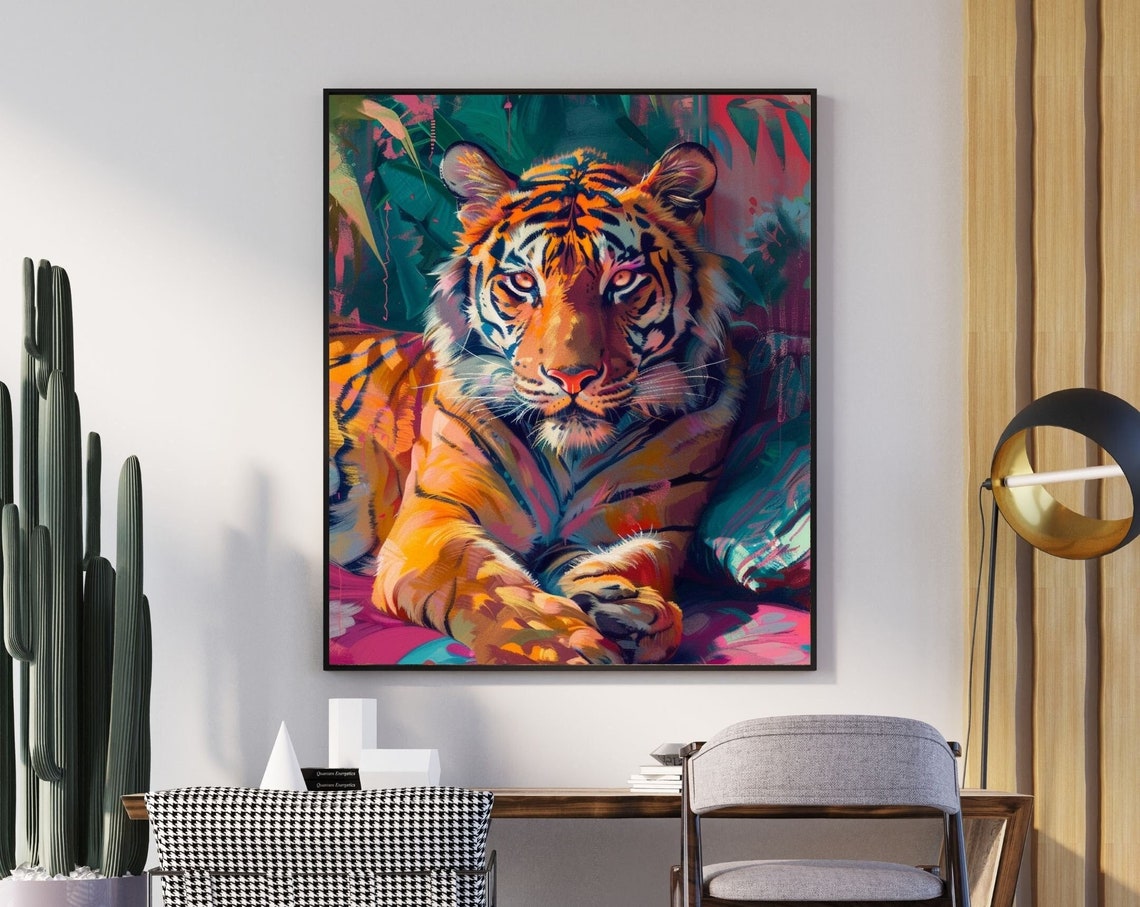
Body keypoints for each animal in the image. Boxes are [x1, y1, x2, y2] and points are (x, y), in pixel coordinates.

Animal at [329, 140, 745, 665]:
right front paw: (567, 645)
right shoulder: (432, 523)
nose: (572, 376)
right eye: (524, 283)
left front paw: (627, 606)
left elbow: (633, 559)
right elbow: (490, 585)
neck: (567, 454)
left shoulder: (653, 529)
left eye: (622, 280)